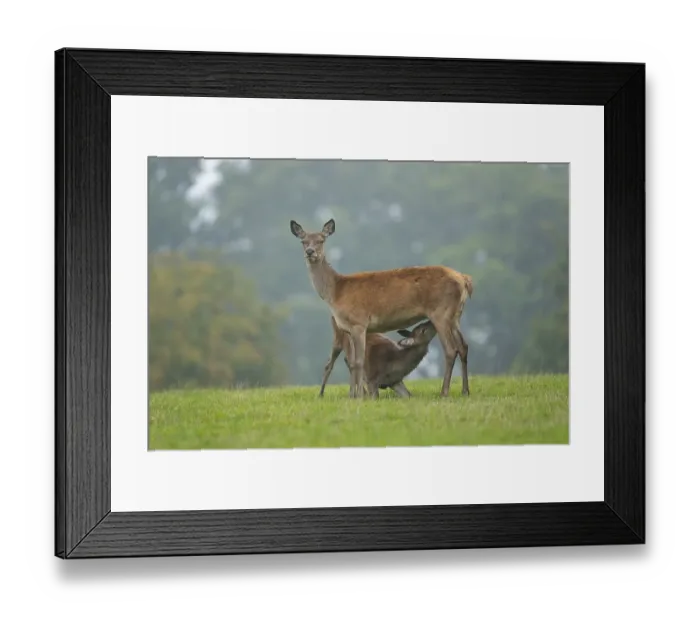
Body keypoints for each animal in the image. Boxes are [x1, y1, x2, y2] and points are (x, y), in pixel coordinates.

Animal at [290, 218, 474, 399]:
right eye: (303, 241)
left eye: (321, 240)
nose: (310, 252)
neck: (335, 292)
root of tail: (464, 279)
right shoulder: (347, 329)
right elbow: (352, 362)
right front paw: (354, 396)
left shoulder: (358, 323)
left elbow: (358, 362)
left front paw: (359, 397)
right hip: (456, 315)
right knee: (463, 346)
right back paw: (465, 391)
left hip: (440, 312)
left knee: (450, 349)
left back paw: (444, 393)